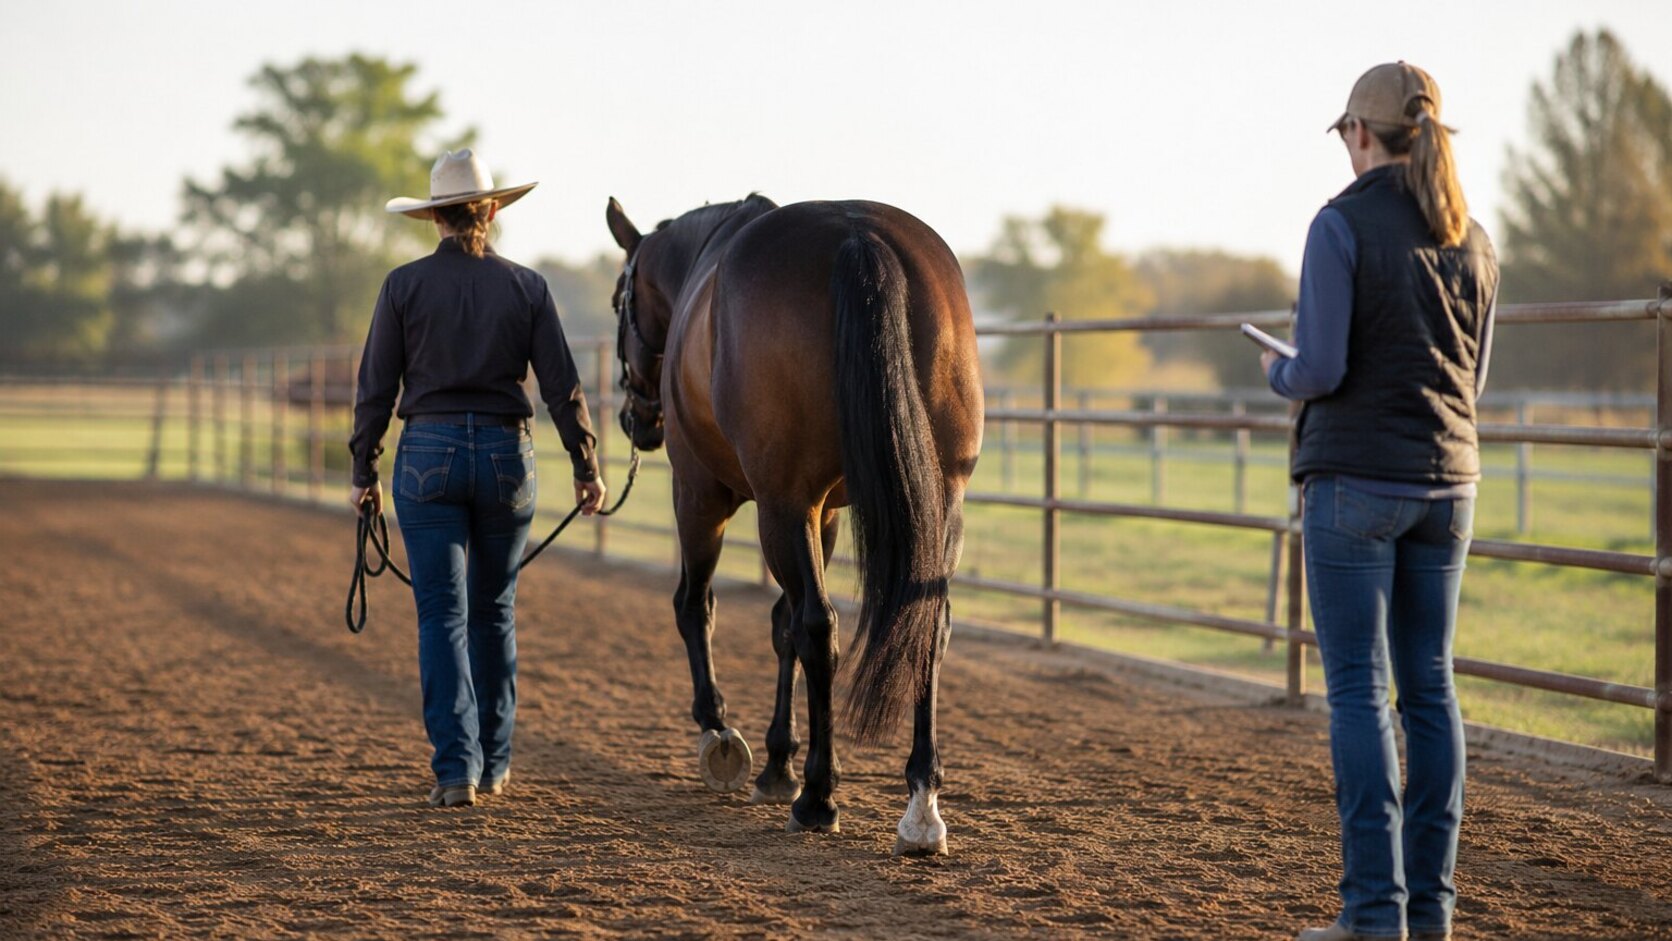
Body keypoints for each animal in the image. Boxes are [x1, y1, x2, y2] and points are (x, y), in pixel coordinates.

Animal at [604, 194, 983, 854]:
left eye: (617, 300)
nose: (636, 420)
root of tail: (858, 234)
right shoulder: (822, 512)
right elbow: (781, 623)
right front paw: (778, 762)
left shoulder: (702, 495)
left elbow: (697, 607)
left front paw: (719, 733)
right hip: (939, 502)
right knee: (924, 625)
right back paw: (920, 804)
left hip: (774, 505)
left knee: (818, 627)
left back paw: (819, 798)